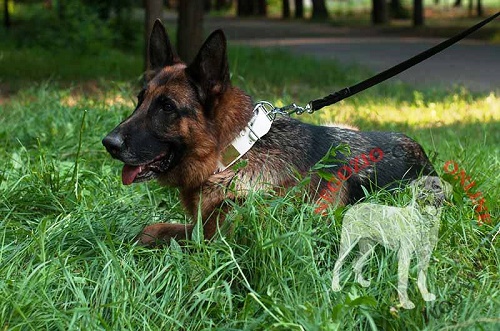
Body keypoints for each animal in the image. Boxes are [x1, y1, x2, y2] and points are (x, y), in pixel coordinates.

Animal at [101, 20, 434, 246]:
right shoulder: (201, 228)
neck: (232, 156)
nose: (108, 143)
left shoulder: (221, 242)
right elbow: (150, 229)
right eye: (140, 100)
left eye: (167, 107)